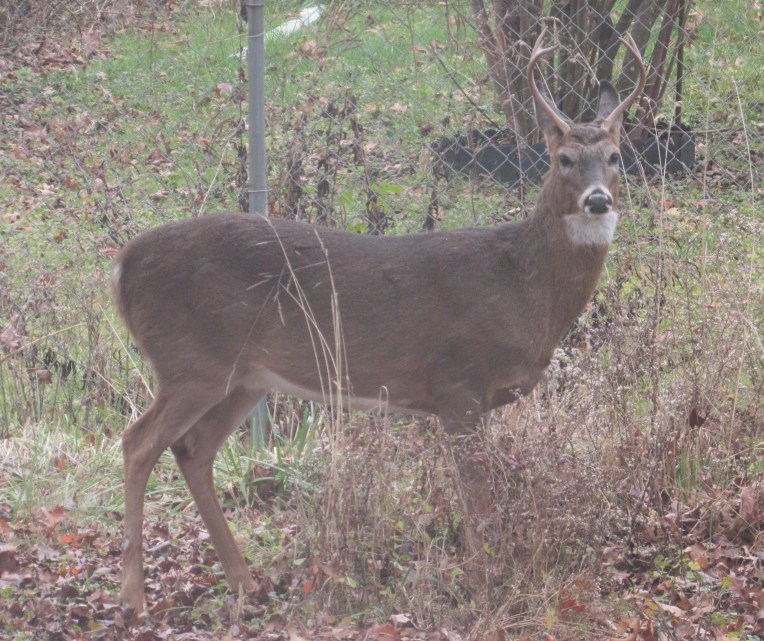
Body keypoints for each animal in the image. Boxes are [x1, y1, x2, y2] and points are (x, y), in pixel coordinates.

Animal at [112, 28, 645, 614]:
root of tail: (122, 267)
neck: (521, 287)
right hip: (190, 362)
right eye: (564, 158)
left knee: (193, 450)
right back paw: (135, 595)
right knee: (138, 443)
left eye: (616, 156)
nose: (598, 201)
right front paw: (486, 582)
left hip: (243, 377)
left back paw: (244, 581)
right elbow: (476, 497)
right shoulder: (457, 383)